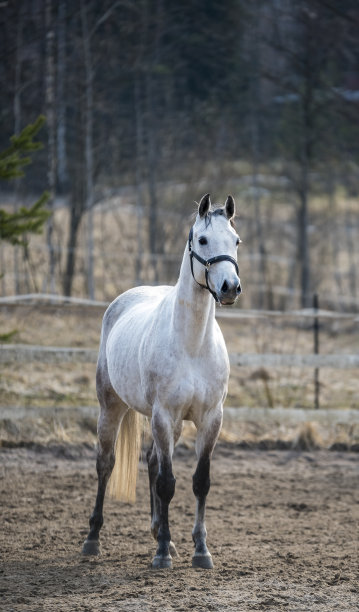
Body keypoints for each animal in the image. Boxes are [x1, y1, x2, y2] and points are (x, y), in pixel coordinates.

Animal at [83, 192, 243, 568]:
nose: (230, 288)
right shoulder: (163, 415)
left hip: (172, 424)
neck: (192, 344)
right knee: (106, 464)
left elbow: (199, 481)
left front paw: (200, 550)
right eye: (203, 239)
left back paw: (161, 536)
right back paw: (93, 539)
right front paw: (161, 556)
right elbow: (167, 483)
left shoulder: (210, 419)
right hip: (112, 408)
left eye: (236, 241)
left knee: (153, 462)